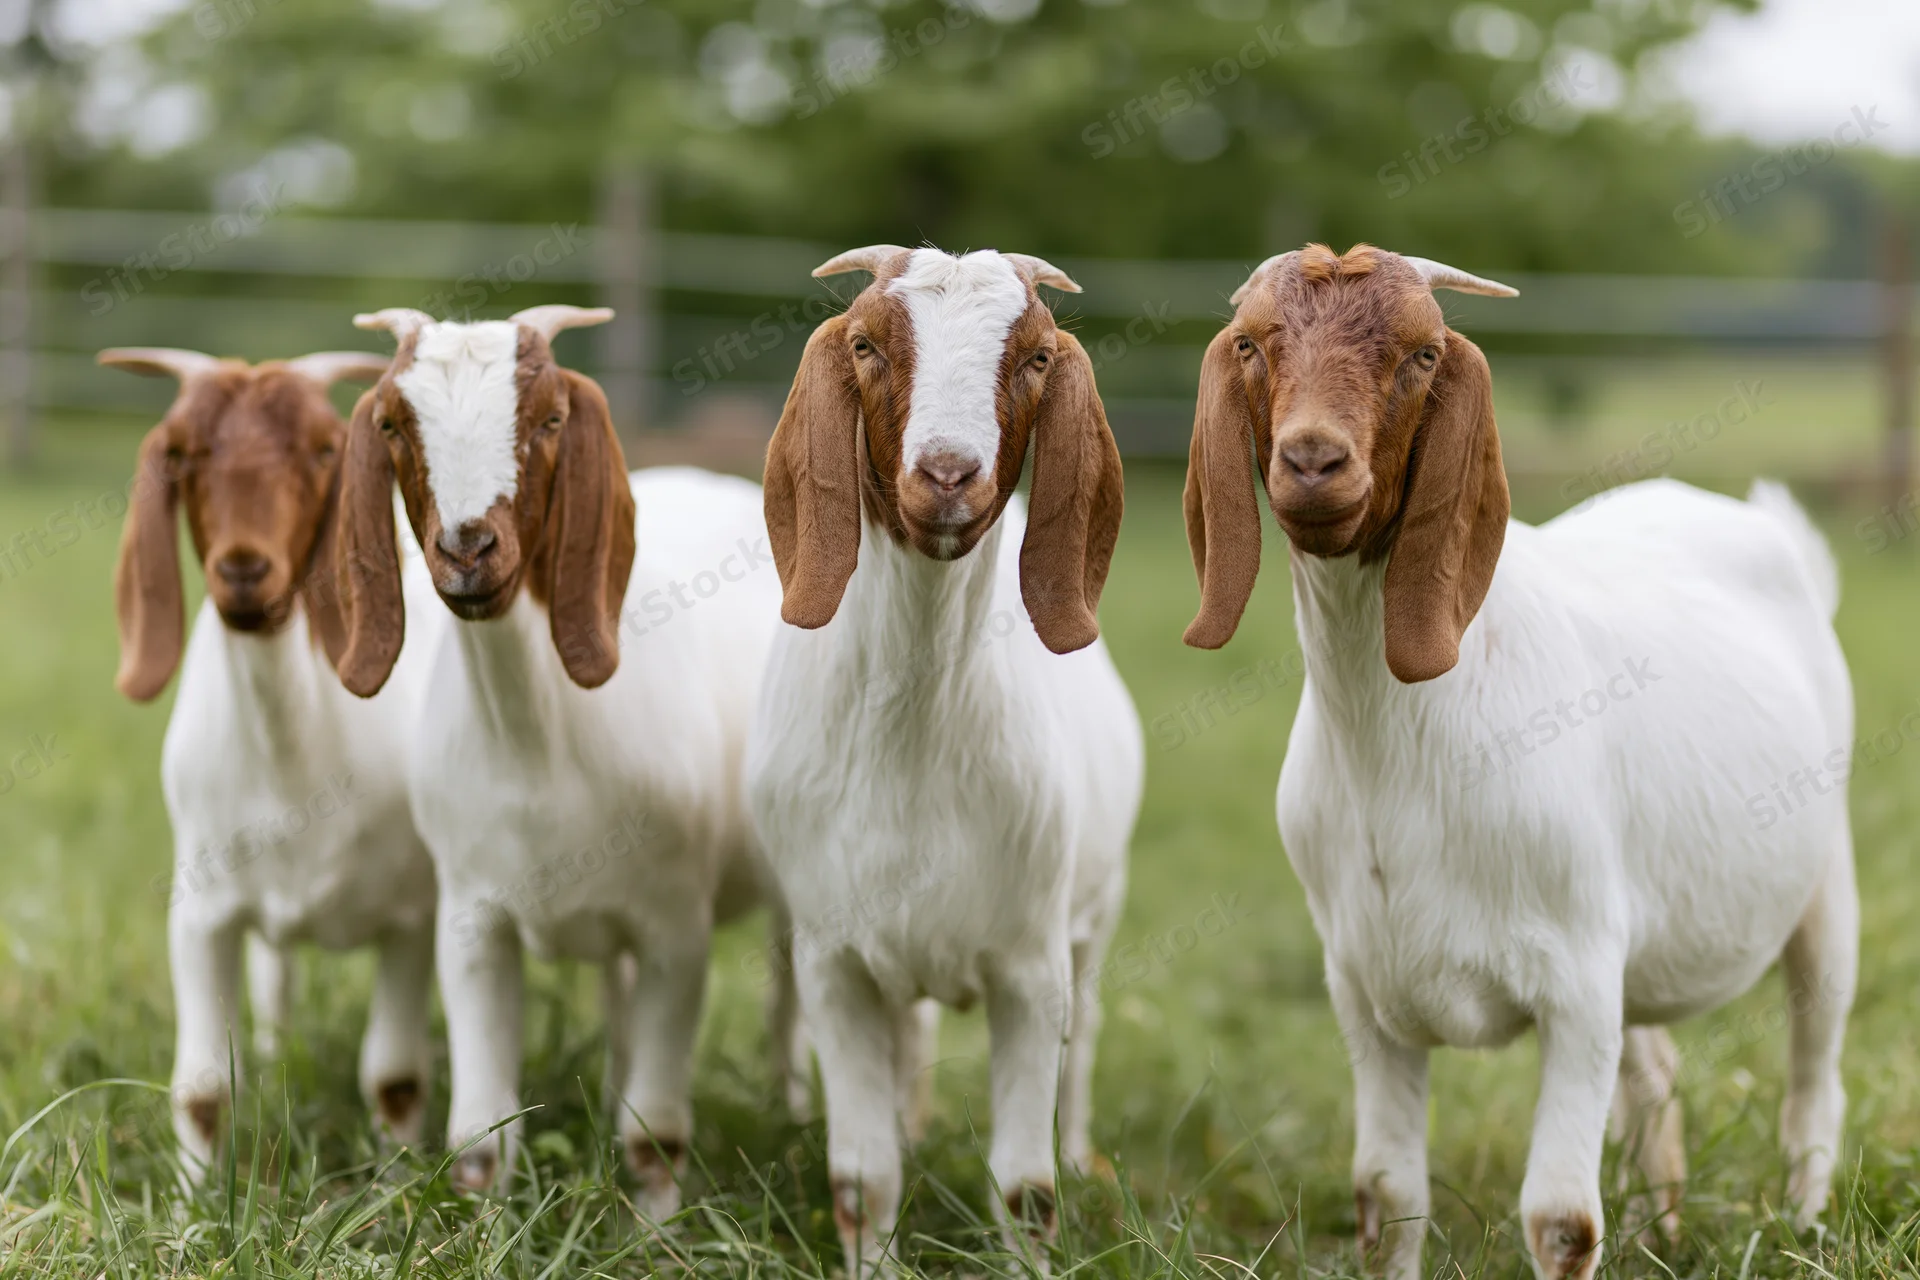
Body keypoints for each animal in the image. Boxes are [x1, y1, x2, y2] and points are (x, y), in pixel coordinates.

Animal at [101, 346, 441, 1181]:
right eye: (183, 454)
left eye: (321, 450)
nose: (245, 570)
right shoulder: (199, 910)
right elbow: (201, 1087)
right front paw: (196, 1199)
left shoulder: (413, 918)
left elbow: (395, 1079)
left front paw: (402, 1187)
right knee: (275, 975)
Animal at [334, 304, 801, 1214]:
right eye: (394, 424)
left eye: (549, 418)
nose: (467, 548)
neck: (540, 742)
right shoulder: (471, 918)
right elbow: (482, 1136)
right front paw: (485, 1225)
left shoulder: (675, 928)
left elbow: (657, 1134)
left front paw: (658, 1232)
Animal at [744, 246, 1144, 1273]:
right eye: (865, 344)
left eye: (1037, 355)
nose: (949, 472)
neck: (915, 736)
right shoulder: (835, 962)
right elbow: (862, 1177)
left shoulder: (1029, 967)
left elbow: (1024, 1187)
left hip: (1095, 913)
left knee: (1086, 1045)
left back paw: (1083, 1153)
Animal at [1182, 243, 1856, 1280]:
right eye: (1252, 344)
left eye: (1422, 353)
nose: (1313, 460)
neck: (1396, 749)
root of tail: (1768, 530)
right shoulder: (1364, 988)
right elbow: (1387, 1197)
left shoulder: (1576, 978)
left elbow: (1561, 1218)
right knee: (1655, 1074)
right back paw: (1661, 1228)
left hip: (1826, 887)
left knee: (1815, 1074)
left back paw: (1806, 1222)